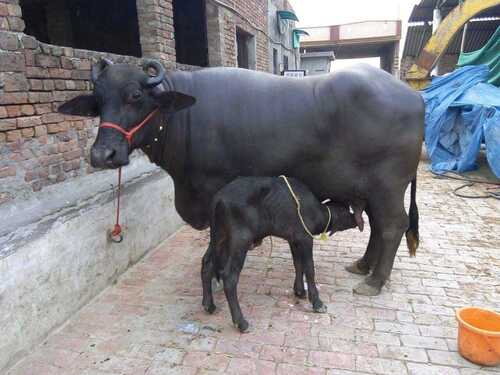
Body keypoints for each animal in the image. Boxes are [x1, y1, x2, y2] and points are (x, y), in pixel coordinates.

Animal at [59, 59, 426, 296]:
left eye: (136, 95)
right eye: (98, 101)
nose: (102, 155)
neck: (182, 117)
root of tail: (414, 96)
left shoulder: (213, 193)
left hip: (388, 186)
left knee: (392, 225)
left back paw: (373, 282)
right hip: (373, 190)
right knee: (377, 225)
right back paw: (363, 266)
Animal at [199, 178, 360, 334]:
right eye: (347, 211)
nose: (356, 220)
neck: (315, 211)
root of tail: (219, 199)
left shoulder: (293, 240)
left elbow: (298, 264)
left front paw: (299, 291)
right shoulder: (305, 239)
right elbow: (309, 269)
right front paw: (317, 302)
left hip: (219, 237)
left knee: (207, 263)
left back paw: (209, 305)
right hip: (239, 241)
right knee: (229, 277)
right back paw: (241, 323)